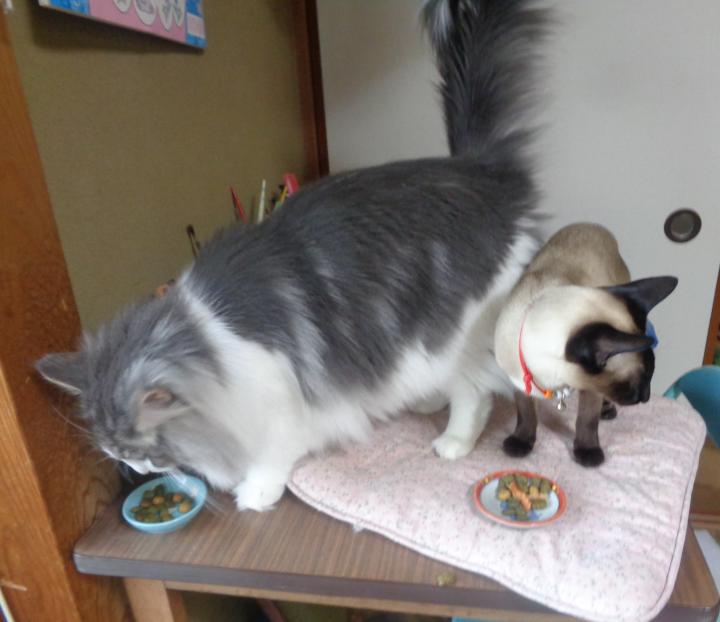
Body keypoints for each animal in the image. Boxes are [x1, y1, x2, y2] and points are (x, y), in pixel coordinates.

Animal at [36, 0, 548, 511]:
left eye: (147, 449)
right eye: (115, 453)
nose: (139, 469)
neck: (202, 338)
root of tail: (480, 168)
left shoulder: (279, 398)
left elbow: (273, 452)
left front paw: (256, 492)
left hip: (458, 331)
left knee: (475, 391)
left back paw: (454, 441)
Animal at [493, 223, 678, 466]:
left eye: (650, 377)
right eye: (641, 380)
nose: (646, 398)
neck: (554, 380)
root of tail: (593, 226)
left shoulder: (591, 389)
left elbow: (587, 420)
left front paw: (588, 452)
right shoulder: (520, 382)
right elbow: (526, 413)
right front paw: (521, 442)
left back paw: (607, 410)